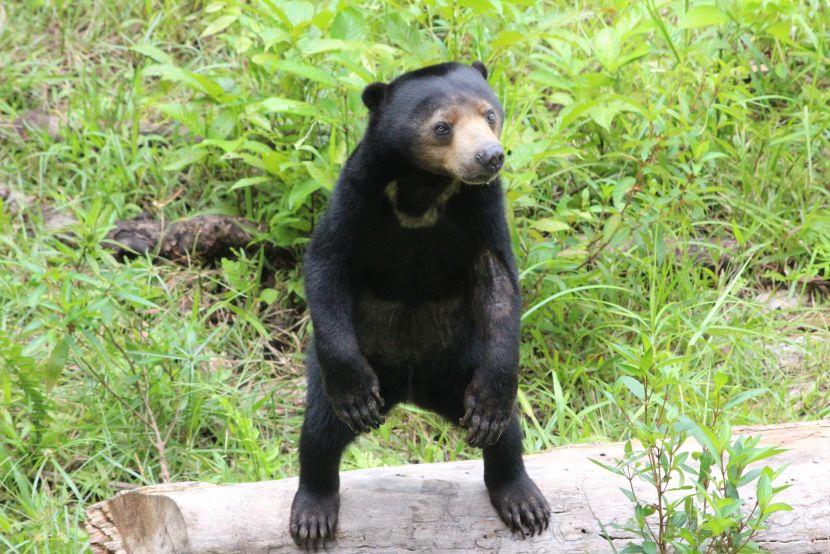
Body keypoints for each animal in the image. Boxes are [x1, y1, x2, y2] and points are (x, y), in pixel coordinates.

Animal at [290, 61, 548, 548]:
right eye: (442, 127)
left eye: (489, 114)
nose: (490, 157)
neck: (425, 187)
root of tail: (410, 388)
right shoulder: (357, 190)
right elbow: (325, 261)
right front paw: (356, 396)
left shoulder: (485, 204)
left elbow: (499, 283)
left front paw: (492, 402)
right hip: (369, 356)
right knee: (320, 429)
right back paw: (313, 511)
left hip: (462, 363)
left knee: (505, 432)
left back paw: (522, 499)